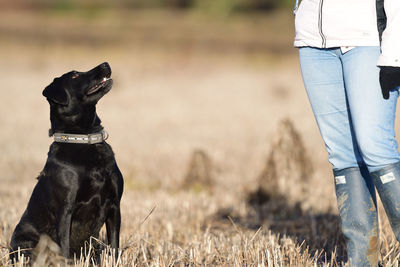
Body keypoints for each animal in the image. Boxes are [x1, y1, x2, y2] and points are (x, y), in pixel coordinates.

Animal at [10, 62, 123, 262]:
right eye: (75, 76)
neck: (84, 140)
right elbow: (64, 247)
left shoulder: (114, 205)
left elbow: (114, 246)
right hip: (25, 242)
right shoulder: (65, 210)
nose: (105, 64)